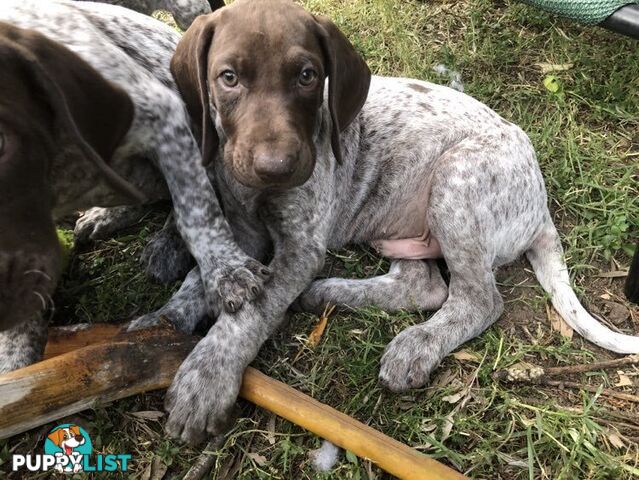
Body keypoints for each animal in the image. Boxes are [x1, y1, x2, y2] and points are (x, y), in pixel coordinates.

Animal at [135, 0, 639, 442]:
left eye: (307, 76)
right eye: (229, 79)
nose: (276, 167)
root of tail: (540, 199)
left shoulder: (300, 247)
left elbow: (250, 313)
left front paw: (204, 380)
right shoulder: (239, 233)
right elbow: (204, 276)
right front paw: (161, 325)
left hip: (455, 182)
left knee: (477, 300)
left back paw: (416, 343)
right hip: (401, 224)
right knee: (423, 285)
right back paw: (328, 293)